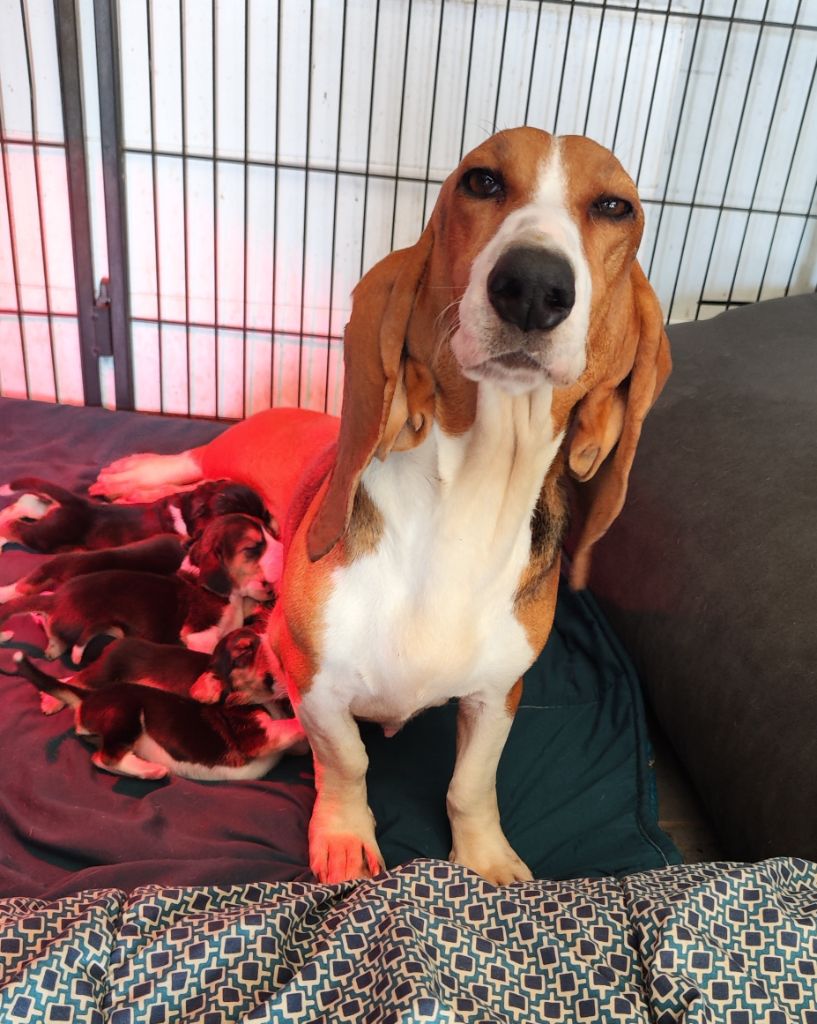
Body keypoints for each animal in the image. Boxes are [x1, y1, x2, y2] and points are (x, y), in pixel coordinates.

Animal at [0, 477, 274, 553]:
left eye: (263, 514)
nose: (269, 529)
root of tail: (76, 502)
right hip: (46, 537)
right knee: (16, 527)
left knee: (27, 505)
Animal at [14, 651, 307, 781]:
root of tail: (88, 697)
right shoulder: (258, 734)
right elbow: (294, 726)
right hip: (127, 714)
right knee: (106, 756)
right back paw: (150, 770)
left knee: (100, 756)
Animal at [92, 128, 671, 885]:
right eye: (480, 181)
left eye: (615, 206)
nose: (533, 286)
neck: (470, 500)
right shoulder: (315, 684)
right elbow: (347, 760)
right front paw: (342, 837)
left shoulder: (498, 694)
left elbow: (471, 782)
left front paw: (485, 860)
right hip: (239, 449)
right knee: (194, 459)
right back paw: (138, 474)